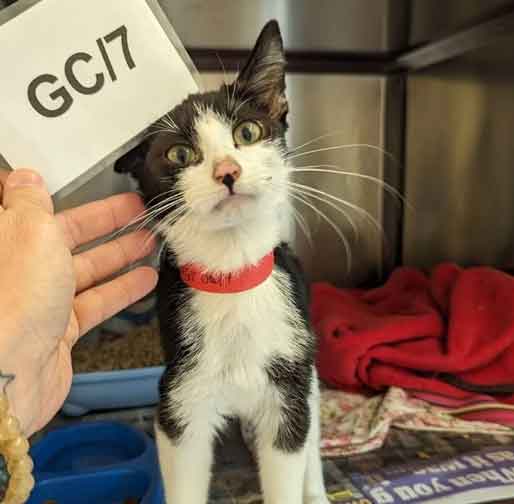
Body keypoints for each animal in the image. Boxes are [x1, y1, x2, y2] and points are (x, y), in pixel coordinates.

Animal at [115, 20, 328, 504]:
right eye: (179, 154)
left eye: (247, 132)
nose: (227, 171)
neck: (232, 279)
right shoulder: (179, 399)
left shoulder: (288, 388)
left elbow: (290, 455)